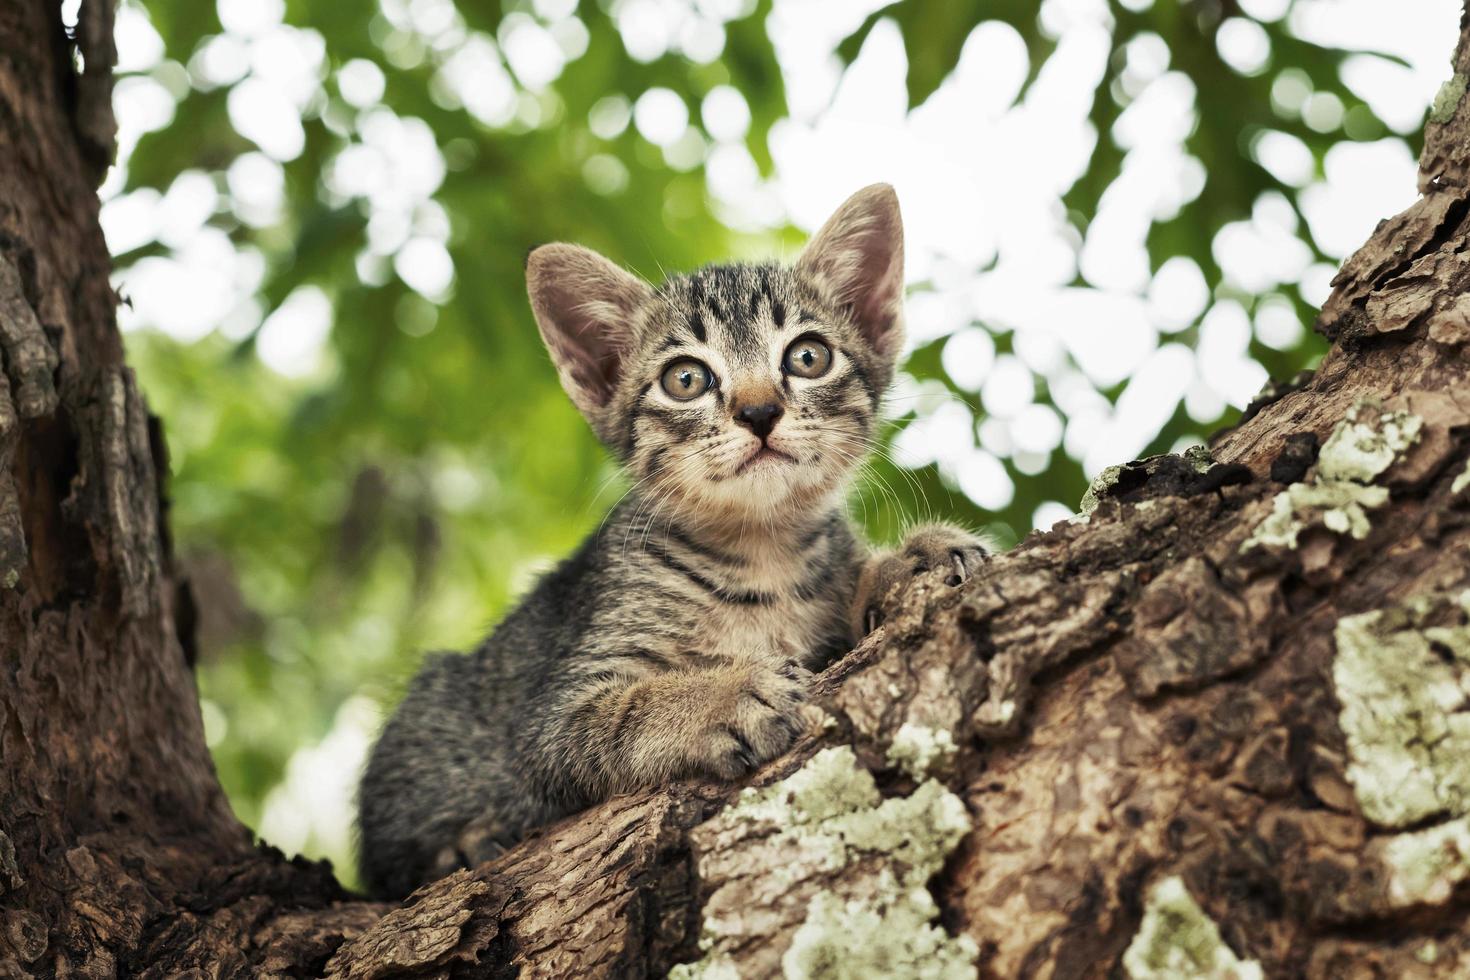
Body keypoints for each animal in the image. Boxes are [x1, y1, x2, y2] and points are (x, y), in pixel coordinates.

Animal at [355, 183, 987, 899]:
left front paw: (911, 557)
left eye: (808, 357)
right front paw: (721, 698)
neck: (761, 553)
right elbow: (615, 714)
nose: (760, 411)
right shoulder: (555, 714)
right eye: (686, 379)